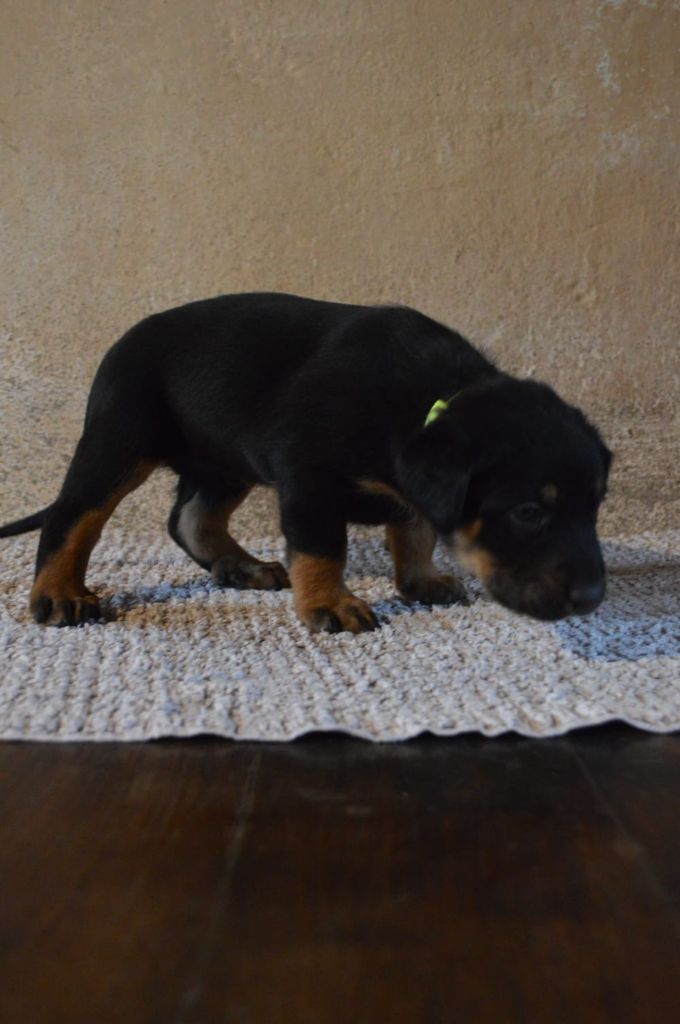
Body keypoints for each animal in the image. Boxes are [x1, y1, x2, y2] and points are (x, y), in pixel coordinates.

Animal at [0, 292, 611, 632]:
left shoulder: (408, 487)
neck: (426, 397)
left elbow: (413, 532)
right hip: (118, 441)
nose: (592, 599)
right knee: (73, 517)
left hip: (225, 462)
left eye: (595, 508)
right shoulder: (309, 480)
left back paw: (242, 567)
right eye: (529, 511)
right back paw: (58, 595)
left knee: (191, 518)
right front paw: (330, 606)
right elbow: (322, 550)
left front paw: (421, 581)